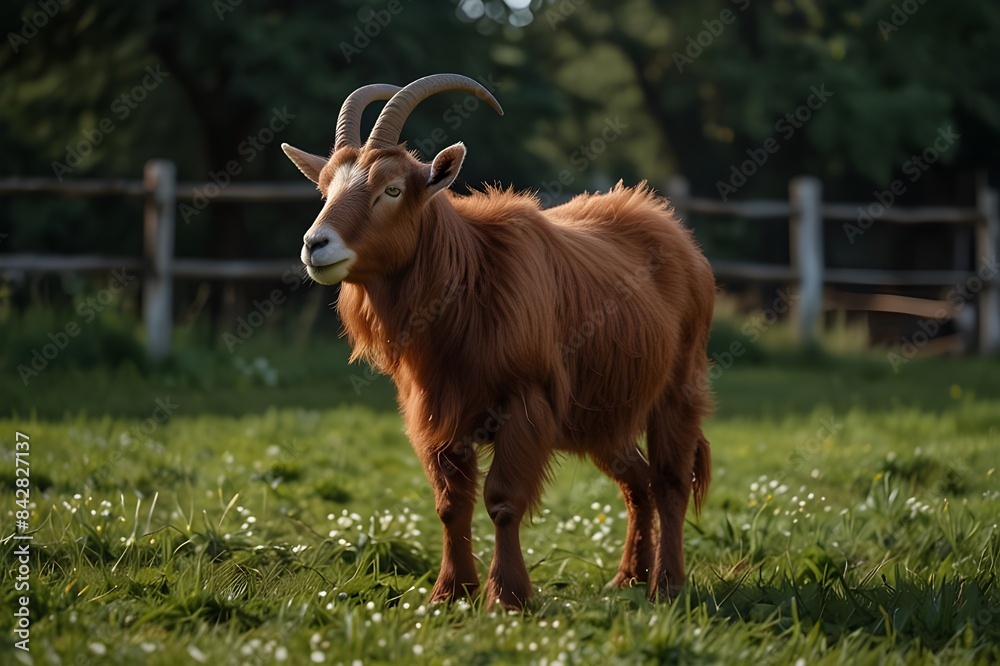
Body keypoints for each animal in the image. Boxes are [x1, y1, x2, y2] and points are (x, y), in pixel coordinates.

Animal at [282, 74, 714, 610]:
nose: (315, 245)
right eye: (324, 189)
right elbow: (451, 505)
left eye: (392, 189)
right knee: (638, 480)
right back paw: (628, 578)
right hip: (600, 413)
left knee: (671, 480)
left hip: (678, 387)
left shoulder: (525, 401)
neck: (471, 276)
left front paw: (508, 596)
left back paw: (667, 584)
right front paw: (449, 593)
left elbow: (503, 500)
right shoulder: (437, 412)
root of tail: (674, 233)